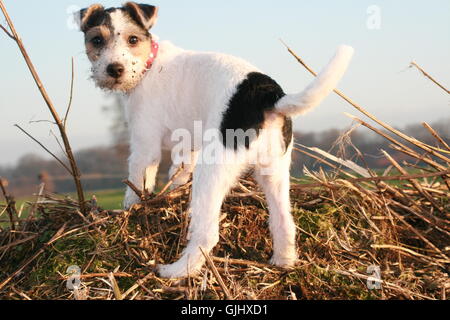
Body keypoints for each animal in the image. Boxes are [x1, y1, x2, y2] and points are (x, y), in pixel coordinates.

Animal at [76, 1, 352, 278]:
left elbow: (136, 184)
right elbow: (177, 175)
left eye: (132, 39)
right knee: (284, 223)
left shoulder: (145, 145)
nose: (114, 69)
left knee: (207, 235)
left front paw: (128, 211)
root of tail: (268, 94)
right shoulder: (186, 149)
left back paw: (175, 271)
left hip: (212, 172)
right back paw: (283, 261)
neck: (149, 64)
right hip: (274, 172)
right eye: (97, 40)